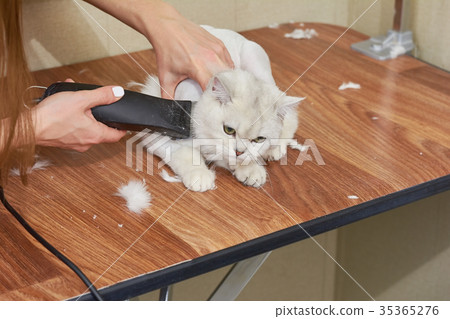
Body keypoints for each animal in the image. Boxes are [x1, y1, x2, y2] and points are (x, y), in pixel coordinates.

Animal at [139, 26, 304, 191]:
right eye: (228, 130)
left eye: (259, 139)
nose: (238, 152)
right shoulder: (156, 133)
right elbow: (184, 152)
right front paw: (200, 175)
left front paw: (251, 169)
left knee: (291, 118)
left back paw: (275, 149)